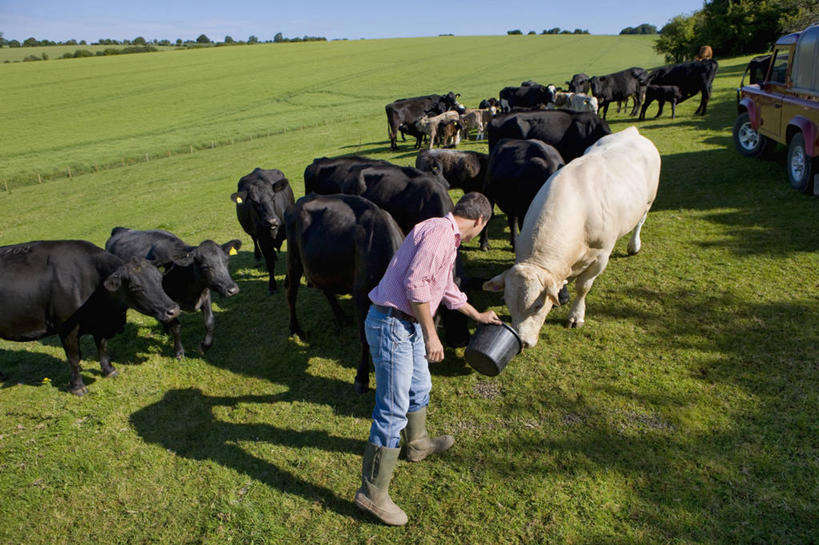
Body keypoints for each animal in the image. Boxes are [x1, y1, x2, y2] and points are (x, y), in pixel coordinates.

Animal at [0, 240, 179, 394]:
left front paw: (109, 370)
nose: (173, 310)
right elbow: (74, 358)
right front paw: (78, 387)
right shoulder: (67, 329)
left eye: (160, 278)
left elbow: (102, 346)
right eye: (135, 287)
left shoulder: (99, 324)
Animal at [104, 226, 242, 360]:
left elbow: (209, 321)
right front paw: (179, 352)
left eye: (226, 261)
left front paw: (204, 346)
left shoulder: (205, 294)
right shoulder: (170, 304)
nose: (232, 289)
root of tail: (119, 229)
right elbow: (176, 327)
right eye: (205, 266)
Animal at [286, 193, 406, 394]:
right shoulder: (361, 294)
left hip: (322, 265)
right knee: (290, 291)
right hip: (294, 259)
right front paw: (362, 378)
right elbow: (365, 338)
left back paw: (341, 316)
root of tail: (305, 198)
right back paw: (296, 329)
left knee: (325, 289)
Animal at [484, 126, 664, 346]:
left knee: (640, 222)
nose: (523, 342)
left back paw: (634, 246)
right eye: (508, 304)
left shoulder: (601, 256)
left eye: (537, 306)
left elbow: (583, 287)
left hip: (648, 201)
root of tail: (631, 132)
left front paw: (576, 315)